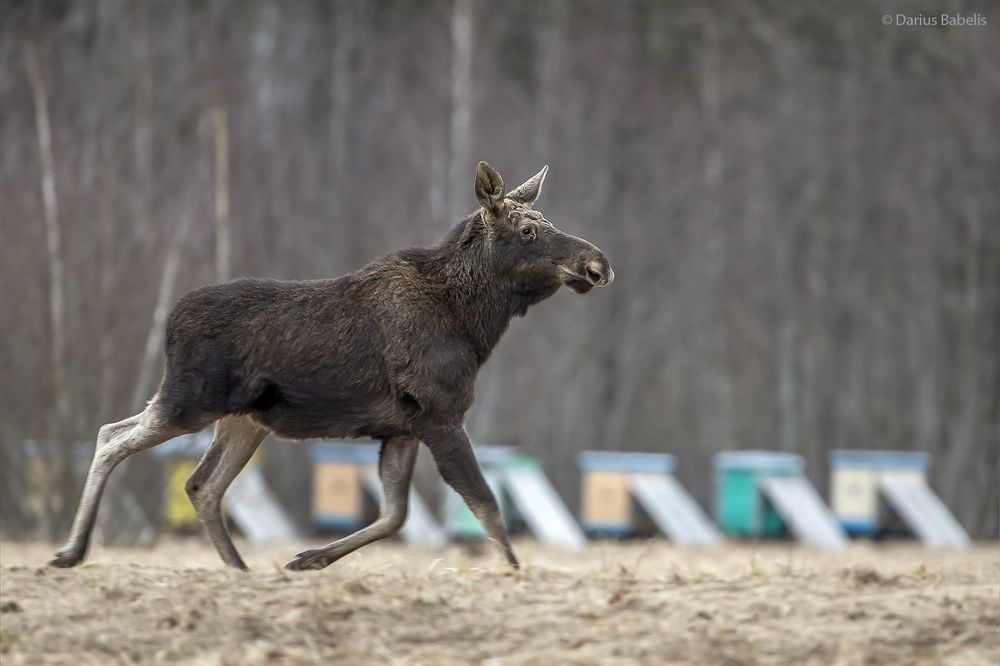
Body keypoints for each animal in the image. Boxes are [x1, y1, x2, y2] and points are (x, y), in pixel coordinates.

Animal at [50, 161, 613, 572]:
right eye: (527, 230)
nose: (597, 264)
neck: (475, 325)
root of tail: (169, 323)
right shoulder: (440, 413)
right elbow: (486, 506)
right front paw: (515, 574)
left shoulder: (403, 427)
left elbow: (396, 515)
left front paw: (311, 558)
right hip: (192, 400)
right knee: (113, 438)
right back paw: (71, 551)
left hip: (241, 419)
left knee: (199, 483)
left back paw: (238, 569)